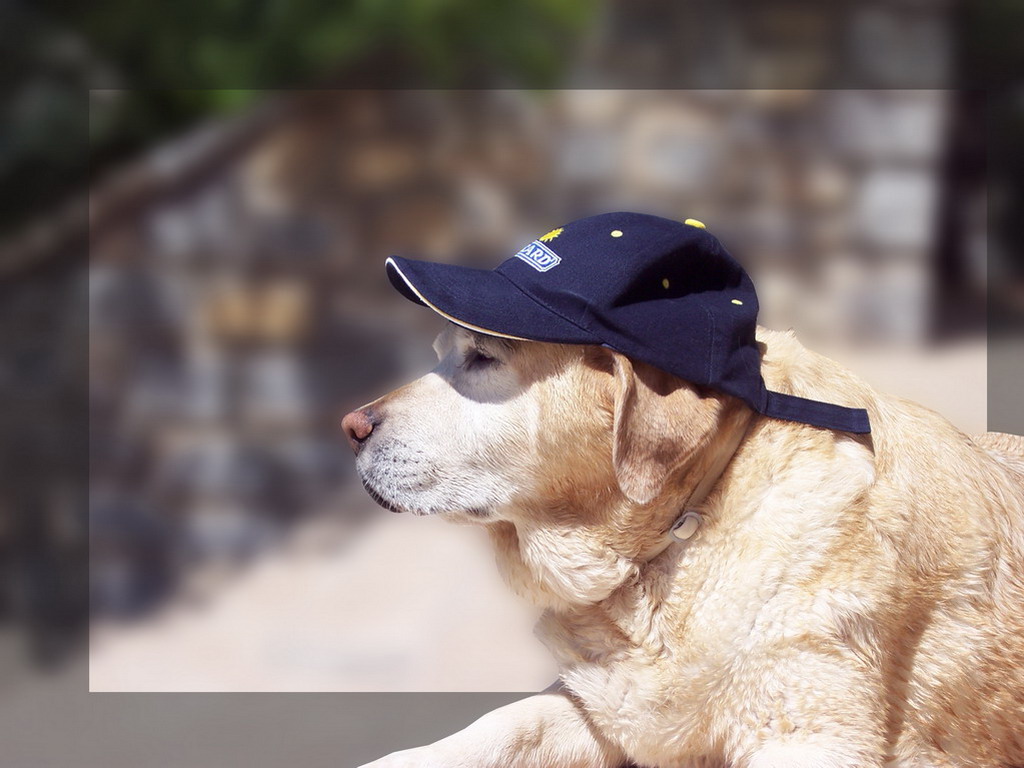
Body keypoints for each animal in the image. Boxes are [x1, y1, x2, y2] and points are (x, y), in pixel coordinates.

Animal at [346, 217, 1024, 768]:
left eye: (483, 357)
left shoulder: (810, 730)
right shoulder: (599, 703)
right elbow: (501, 727)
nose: (350, 426)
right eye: (441, 353)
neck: (684, 527)